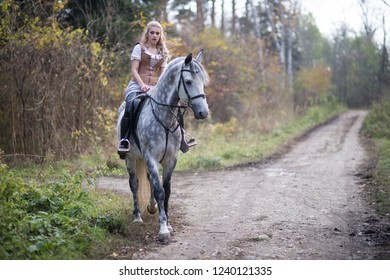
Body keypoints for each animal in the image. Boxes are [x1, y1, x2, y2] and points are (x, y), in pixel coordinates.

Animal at [116, 50, 210, 243]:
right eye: (188, 81)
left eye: (202, 81)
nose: (203, 112)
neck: (164, 117)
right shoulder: (151, 157)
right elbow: (159, 191)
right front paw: (163, 230)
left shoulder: (170, 159)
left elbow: (166, 190)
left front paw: (168, 223)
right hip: (130, 158)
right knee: (134, 184)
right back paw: (137, 217)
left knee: (149, 180)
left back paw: (152, 207)